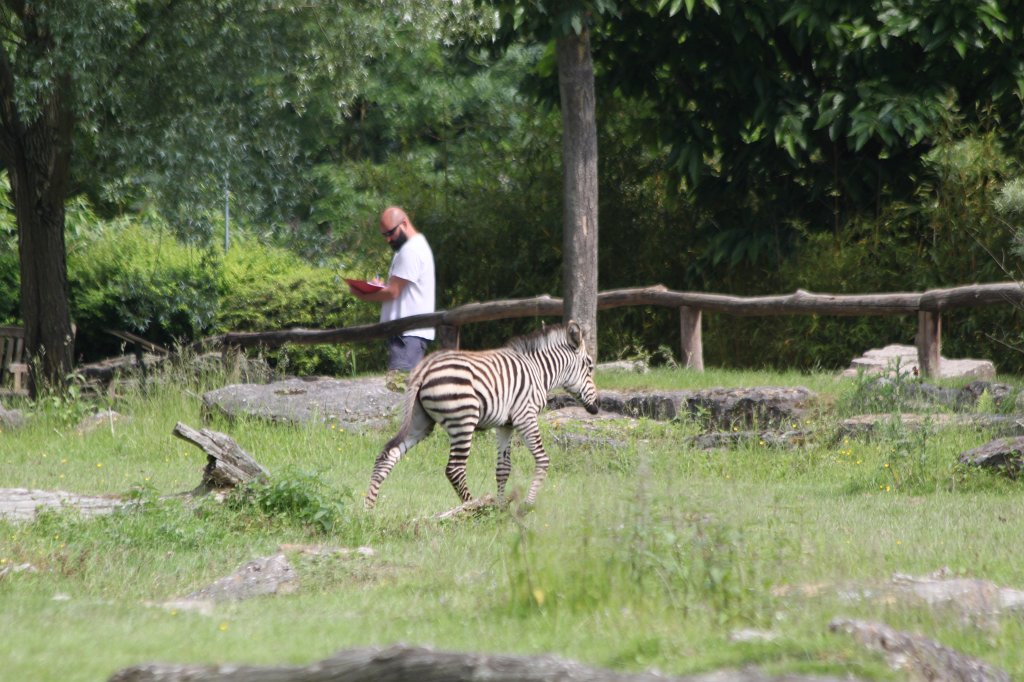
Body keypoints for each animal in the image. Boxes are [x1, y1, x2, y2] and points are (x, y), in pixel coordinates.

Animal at [365, 321, 599, 509]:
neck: (539, 372)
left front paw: (501, 508)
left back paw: (369, 508)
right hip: (463, 420)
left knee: (388, 454)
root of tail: (425, 368)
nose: (596, 407)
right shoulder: (525, 416)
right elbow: (542, 459)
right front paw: (527, 505)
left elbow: (503, 468)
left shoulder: (505, 425)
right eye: (589, 366)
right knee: (454, 469)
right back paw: (473, 509)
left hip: (420, 422)